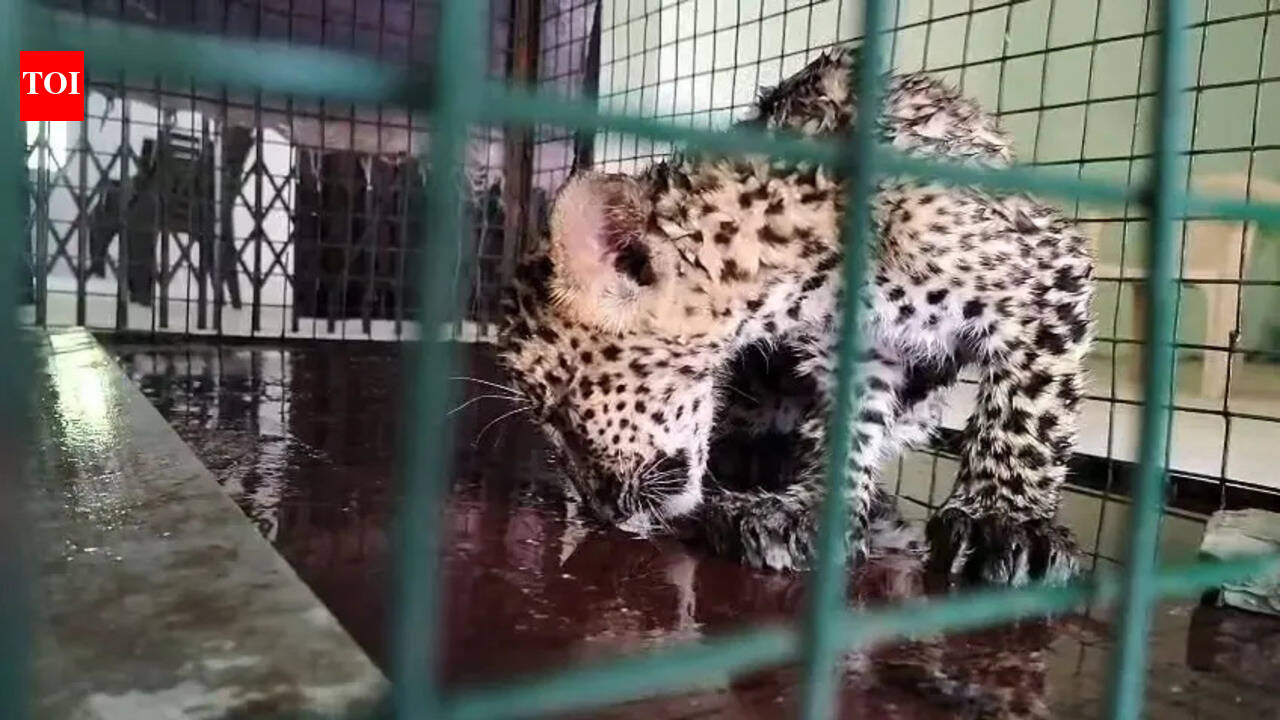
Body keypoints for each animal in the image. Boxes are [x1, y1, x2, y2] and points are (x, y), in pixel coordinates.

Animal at [497, 45, 1093, 586]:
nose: (598, 511)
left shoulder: (1046, 275)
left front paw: (1006, 520)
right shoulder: (858, 349)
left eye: (557, 408)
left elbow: (1029, 413)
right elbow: (848, 424)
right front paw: (808, 512)